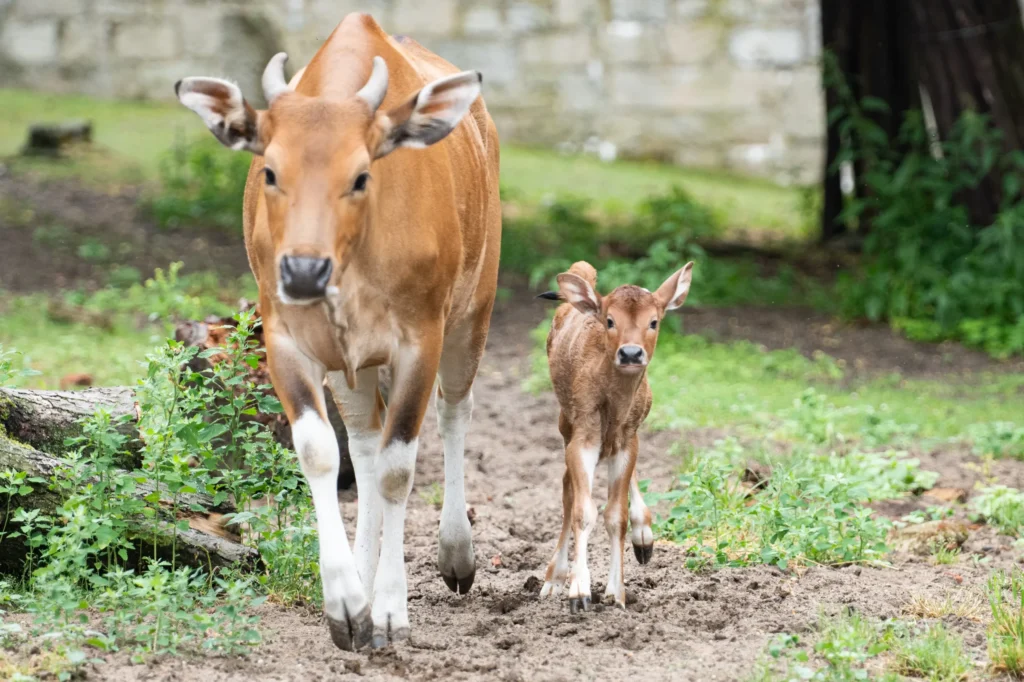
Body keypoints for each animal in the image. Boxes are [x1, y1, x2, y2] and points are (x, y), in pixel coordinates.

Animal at [173, 13, 499, 647]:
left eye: (361, 175)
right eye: (271, 170)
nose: (304, 270)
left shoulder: (420, 339)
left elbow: (401, 466)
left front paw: (392, 610)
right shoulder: (285, 341)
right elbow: (321, 452)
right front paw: (348, 604)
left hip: (474, 310)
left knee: (453, 412)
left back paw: (455, 553)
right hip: (354, 365)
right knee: (365, 443)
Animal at [536, 260, 696, 610]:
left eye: (654, 321)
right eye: (610, 320)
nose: (631, 353)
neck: (614, 404)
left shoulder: (628, 437)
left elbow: (615, 515)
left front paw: (616, 592)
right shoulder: (583, 436)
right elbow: (583, 510)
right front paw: (579, 591)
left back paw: (643, 536)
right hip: (564, 421)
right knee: (567, 489)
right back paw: (554, 578)